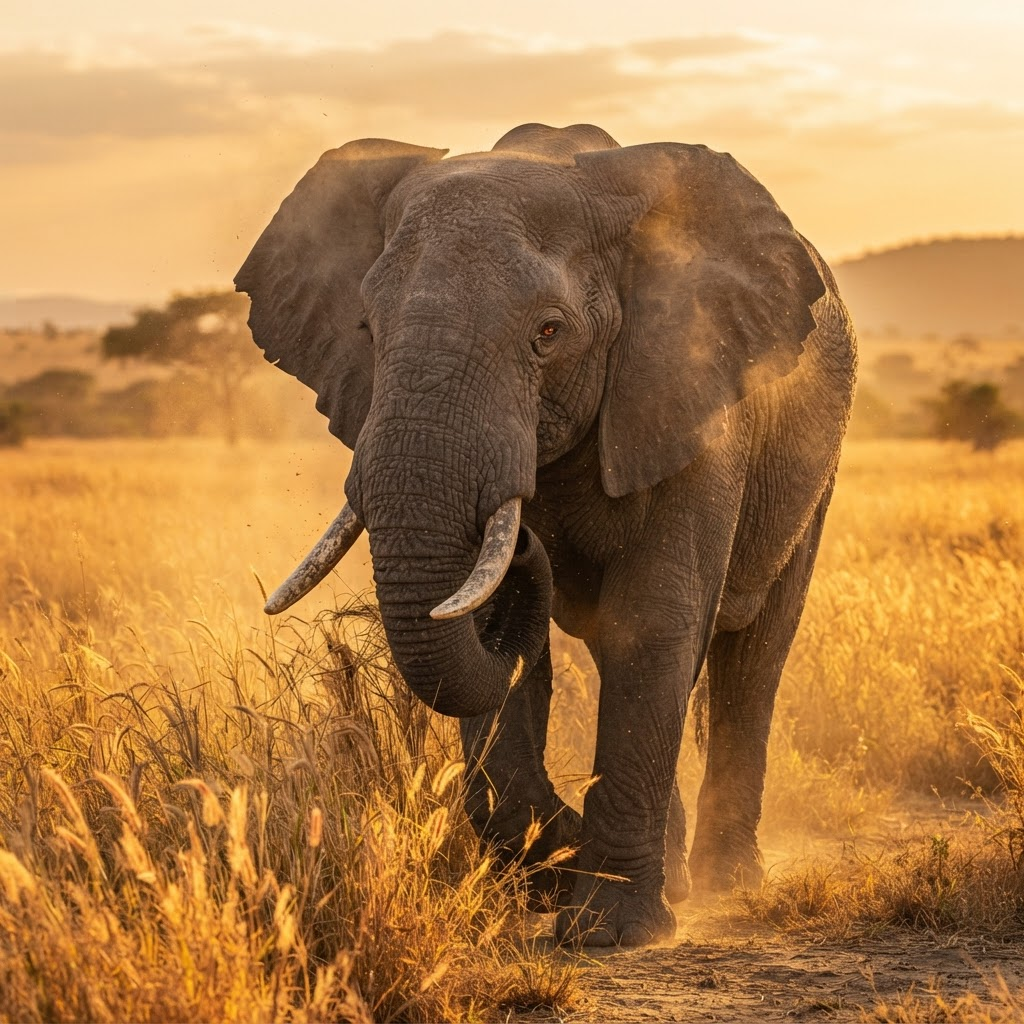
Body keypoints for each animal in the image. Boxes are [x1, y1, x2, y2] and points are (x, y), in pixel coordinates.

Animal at [235, 122, 856, 947]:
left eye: (549, 333)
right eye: (366, 329)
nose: (526, 540)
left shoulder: (692, 390)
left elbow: (654, 619)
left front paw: (611, 927)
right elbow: (509, 641)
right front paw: (558, 869)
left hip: (812, 468)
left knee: (752, 655)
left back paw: (728, 882)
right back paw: (673, 875)